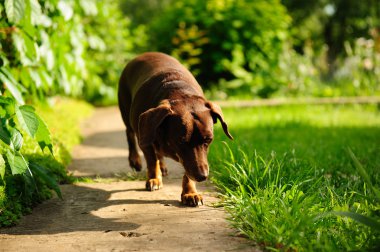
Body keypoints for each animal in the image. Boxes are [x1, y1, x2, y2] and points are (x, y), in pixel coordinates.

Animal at [118, 51, 232, 207]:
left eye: (208, 140)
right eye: (181, 141)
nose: (202, 176)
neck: (179, 92)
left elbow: (186, 172)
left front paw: (190, 193)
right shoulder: (145, 139)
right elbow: (152, 160)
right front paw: (154, 179)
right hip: (126, 111)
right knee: (129, 133)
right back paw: (135, 160)